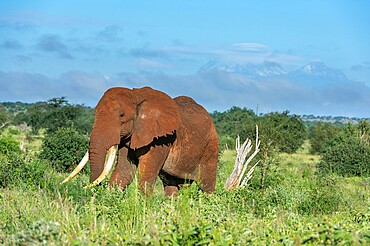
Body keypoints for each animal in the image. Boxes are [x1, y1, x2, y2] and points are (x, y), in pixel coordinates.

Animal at [61, 86, 218, 196]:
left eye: (121, 115)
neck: (136, 95)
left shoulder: (161, 138)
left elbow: (146, 176)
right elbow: (124, 173)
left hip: (211, 147)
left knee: (206, 185)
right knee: (173, 186)